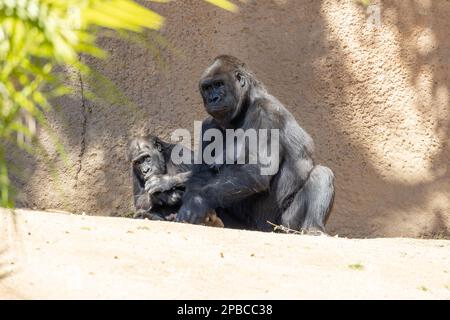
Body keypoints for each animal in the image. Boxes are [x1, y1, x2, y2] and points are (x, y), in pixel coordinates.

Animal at [176, 55, 334, 232]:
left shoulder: (265, 112)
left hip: (282, 225)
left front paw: (197, 203)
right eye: (207, 88)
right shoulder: (209, 125)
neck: (246, 103)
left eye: (219, 84)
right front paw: (195, 201)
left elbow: (257, 169)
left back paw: (313, 229)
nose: (213, 99)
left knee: (321, 173)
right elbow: (201, 175)